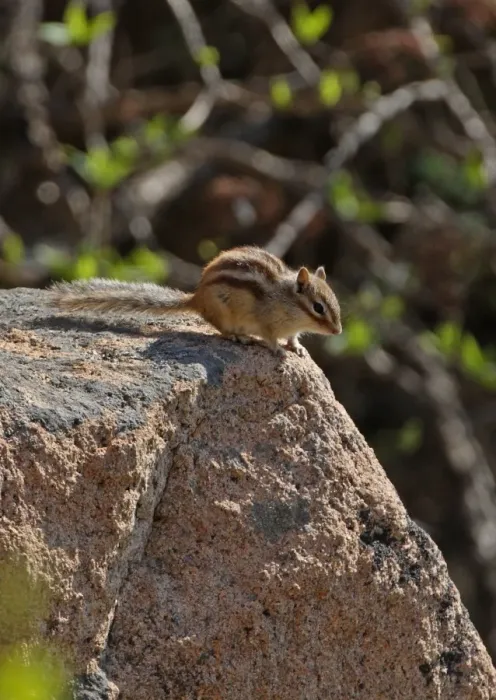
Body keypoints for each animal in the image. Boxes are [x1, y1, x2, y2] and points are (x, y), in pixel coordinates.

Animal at [50, 245, 342, 356]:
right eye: (318, 308)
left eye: (335, 305)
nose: (338, 331)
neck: (287, 302)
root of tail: (197, 298)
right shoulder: (266, 323)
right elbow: (271, 338)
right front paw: (279, 350)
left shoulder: (291, 328)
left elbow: (293, 338)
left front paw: (297, 347)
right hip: (224, 313)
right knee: (222, 330)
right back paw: (239, 337)